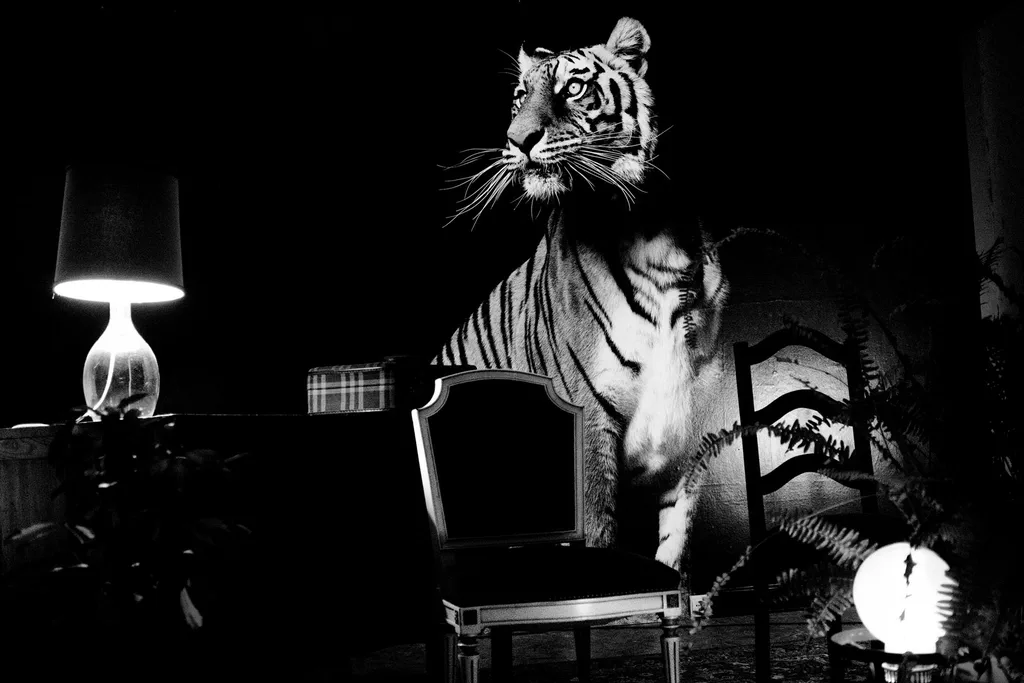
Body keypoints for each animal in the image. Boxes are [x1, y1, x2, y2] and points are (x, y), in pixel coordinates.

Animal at [434, 16, 729, 572]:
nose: (517, 140)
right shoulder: (588, 414)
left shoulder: (689, 431)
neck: (651, 230)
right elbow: (597, 530)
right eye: (520, 96)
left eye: (572, 89)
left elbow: (675, 538)